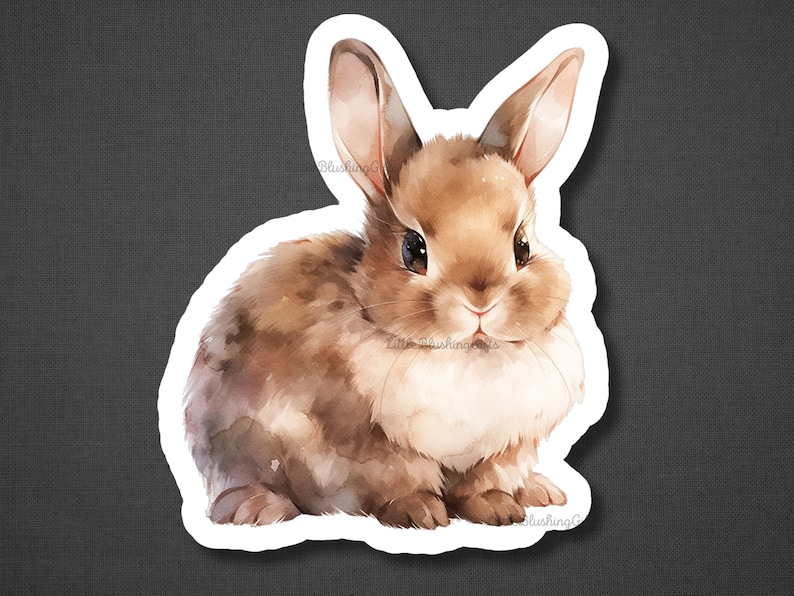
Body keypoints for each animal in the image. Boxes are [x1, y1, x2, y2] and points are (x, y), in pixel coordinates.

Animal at [183, 38, 586, 529]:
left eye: (522, 247)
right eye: (414, 250)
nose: (480, 303)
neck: (465, 355)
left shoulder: (505, 450)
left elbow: (485, 481)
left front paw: (498, 508)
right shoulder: (373, 450)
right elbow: (400, 481)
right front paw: (422, 513)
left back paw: (541, 491)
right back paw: (255, 508)